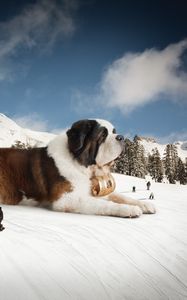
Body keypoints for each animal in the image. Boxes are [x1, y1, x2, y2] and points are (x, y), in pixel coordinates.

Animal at [0, 119, 155, 218]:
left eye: (114, 131)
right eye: (102, 135)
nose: (122, 137)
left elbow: (120, 196)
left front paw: (144, 204)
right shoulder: (66, 199)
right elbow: (103, 203)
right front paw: (129, 209)